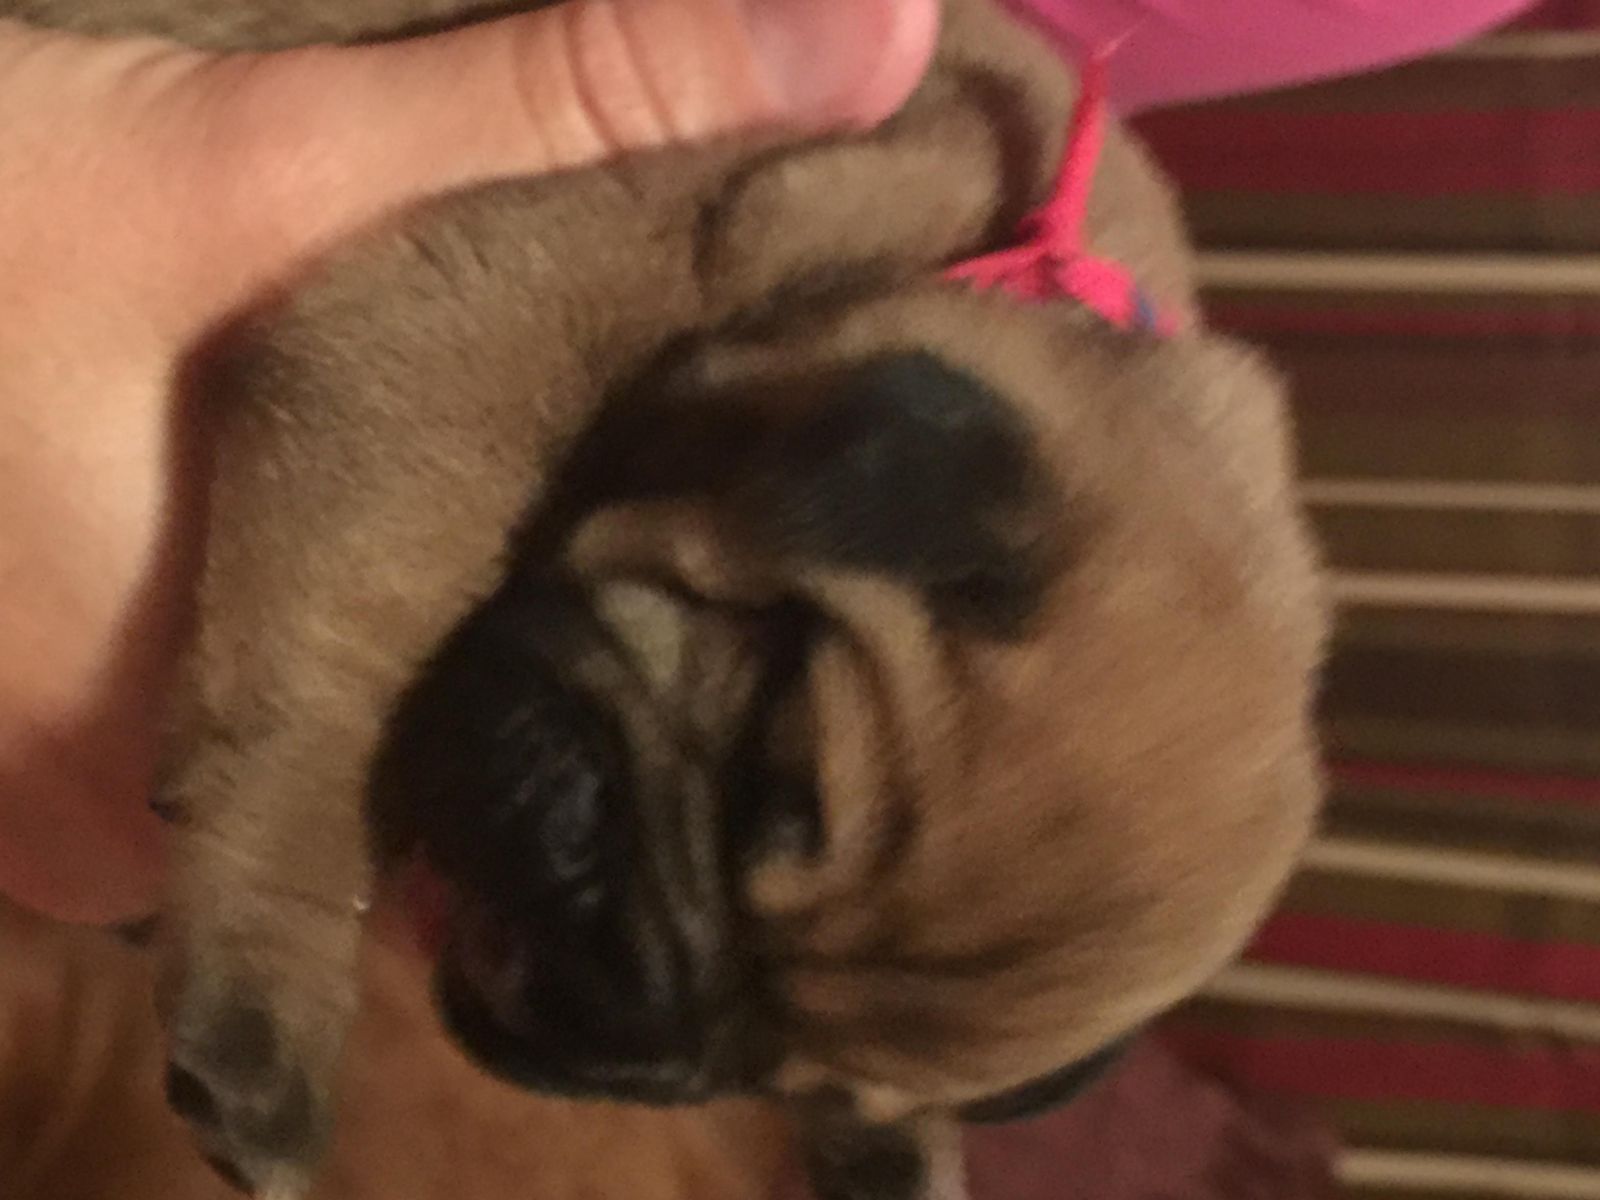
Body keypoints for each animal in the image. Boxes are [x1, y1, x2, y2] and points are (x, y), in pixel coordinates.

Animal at [5, 0, 1328, 1196]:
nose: (633, 1015)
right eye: (762, 772)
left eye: (767, 1075)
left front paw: (896, 1154)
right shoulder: (452, 350)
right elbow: (334, 698)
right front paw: (269, 972)